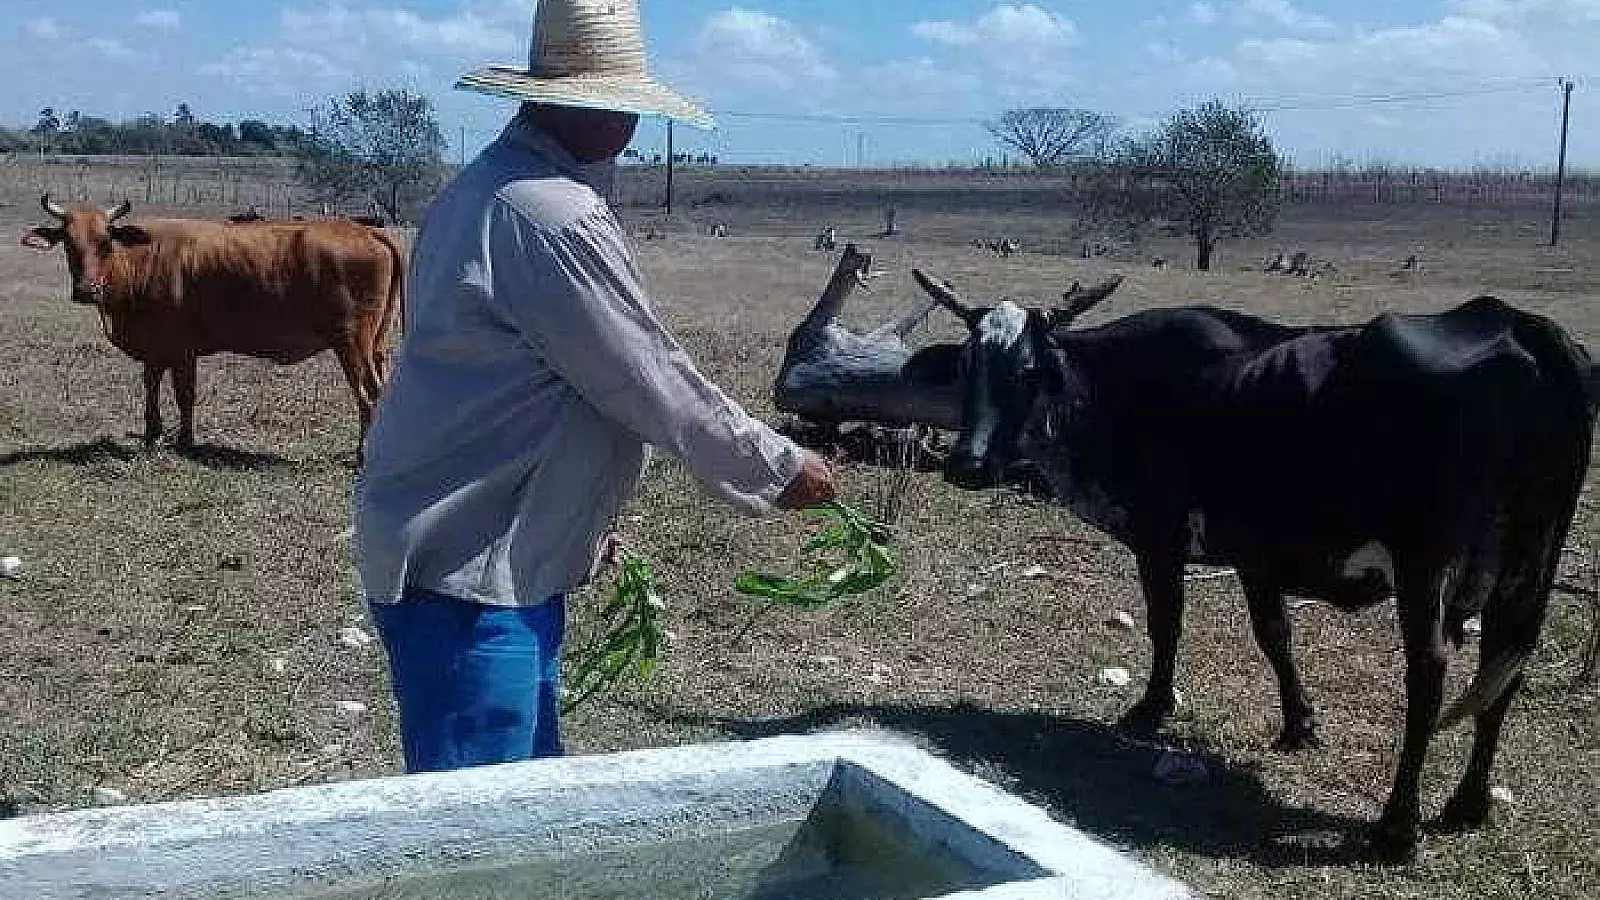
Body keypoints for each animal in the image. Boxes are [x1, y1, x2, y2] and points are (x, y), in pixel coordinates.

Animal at [22, 190, 406, 454]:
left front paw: (184, 440)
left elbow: (184, 394)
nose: (87, 289)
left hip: (352, 345)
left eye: (106, 241)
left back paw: (363, 455)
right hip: (375, 344)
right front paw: (152, 434)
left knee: (369, 395)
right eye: (68, 243)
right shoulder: (155, 349)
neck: (142, 259)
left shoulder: (181, 350)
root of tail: (366, 232)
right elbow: (151, 387)